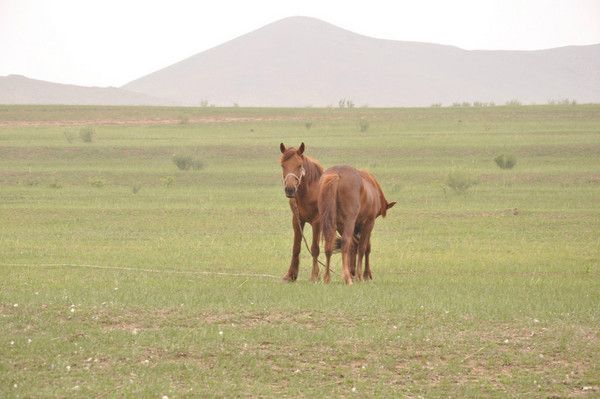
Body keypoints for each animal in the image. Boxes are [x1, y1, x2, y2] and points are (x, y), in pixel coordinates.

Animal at [280, 142, 326, 282]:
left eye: (299, 165)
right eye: (282, 165)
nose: (290, 189)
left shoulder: (317, 222)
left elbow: (315, 248)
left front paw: (315, 276)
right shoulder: (297, 220)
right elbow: (296, 247)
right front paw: (290, 275)